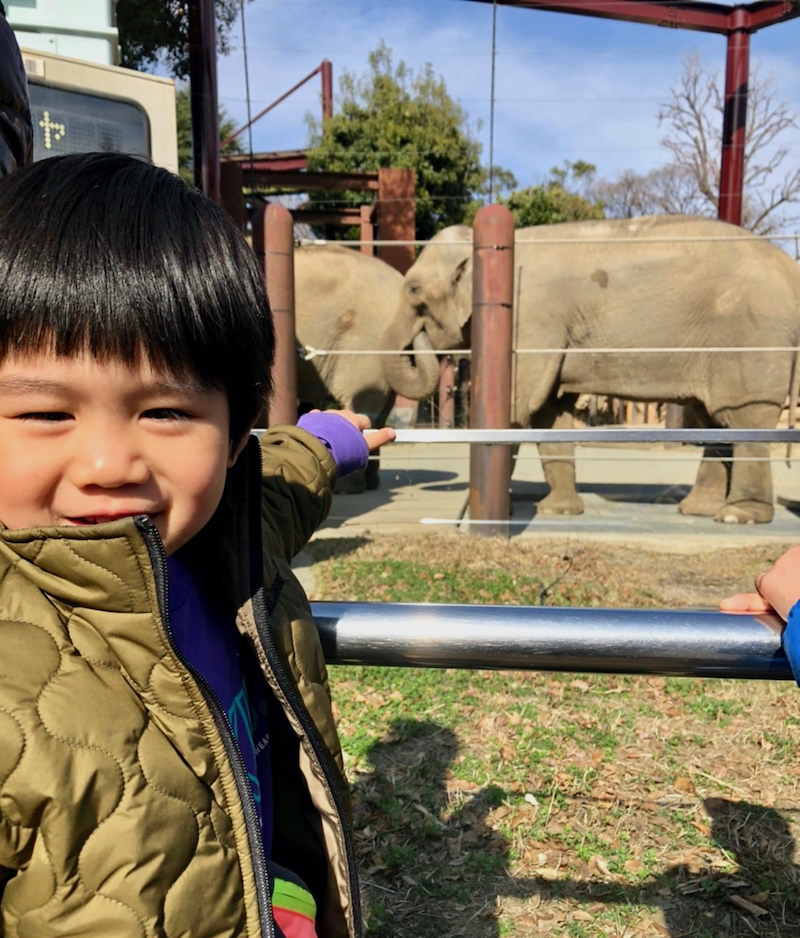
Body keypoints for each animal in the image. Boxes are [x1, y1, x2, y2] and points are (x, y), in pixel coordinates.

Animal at [390, 215, 800, 524]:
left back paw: (739, 516)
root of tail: (790, 267)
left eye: (413, 290)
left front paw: (505, 511)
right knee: (716, 421)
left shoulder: (530, 319)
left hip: (752, 339)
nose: (419, 334)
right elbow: (549, 415)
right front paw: (556, 512)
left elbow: (518, 409)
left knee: (743, 417)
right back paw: (699, 510)